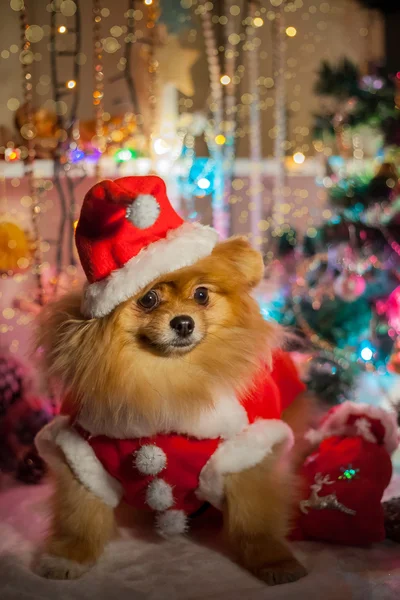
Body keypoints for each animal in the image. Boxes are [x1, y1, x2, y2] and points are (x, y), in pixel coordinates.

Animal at [34, 175, 310, 584]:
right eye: (148, 299)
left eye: (201, 295)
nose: (183, 322)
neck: (167, 379)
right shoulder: (81, 455)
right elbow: (79, 518)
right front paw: (66, 557)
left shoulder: (246, 454)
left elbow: (255, 520)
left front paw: (275, 561)